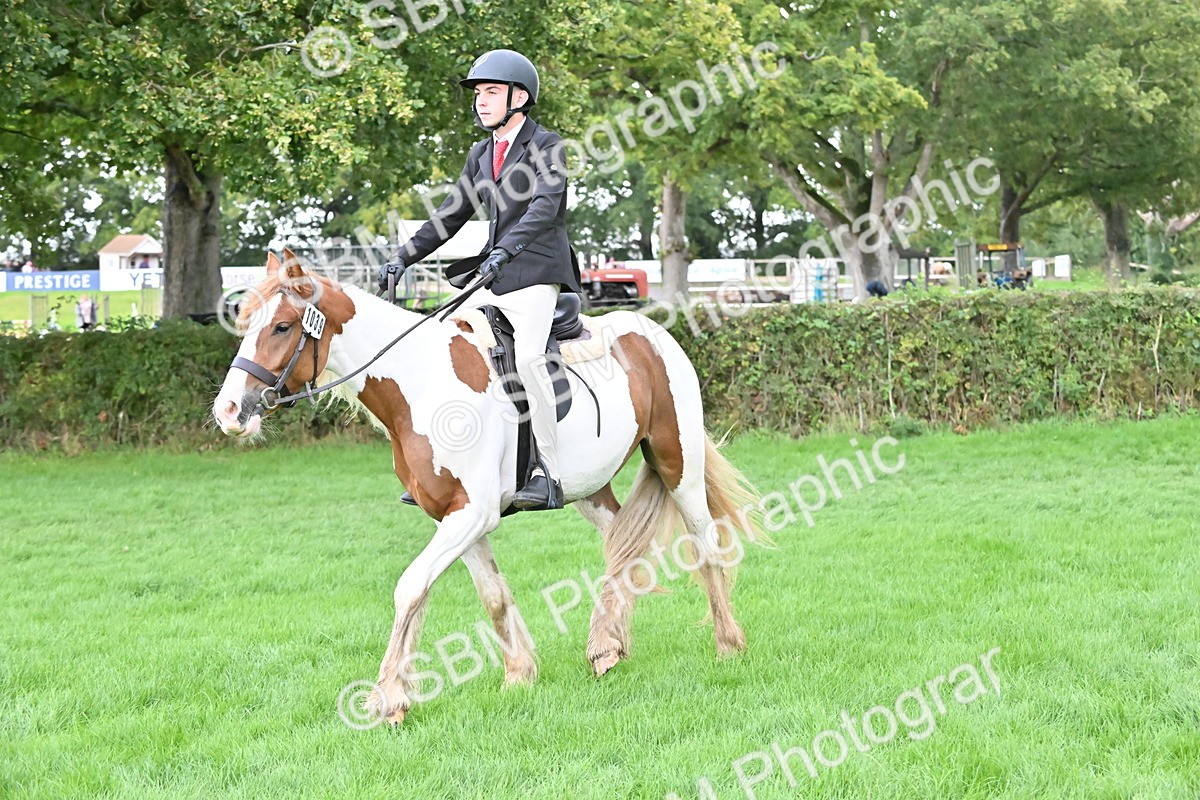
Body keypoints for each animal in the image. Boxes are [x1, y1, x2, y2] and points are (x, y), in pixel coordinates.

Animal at [212, 250, 762, 725]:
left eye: (282, 326)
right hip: (590, 488)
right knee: (623, 548)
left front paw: (388, 696)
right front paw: (518, 675)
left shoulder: (471, 514)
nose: (229, 412)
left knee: (705, 546)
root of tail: (655, 333)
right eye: (245, 322)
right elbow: (492, 596)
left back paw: (728, 645)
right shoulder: (456, 516)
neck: (422, 384)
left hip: (678, 465)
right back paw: (608, 646)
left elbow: (410, 586)